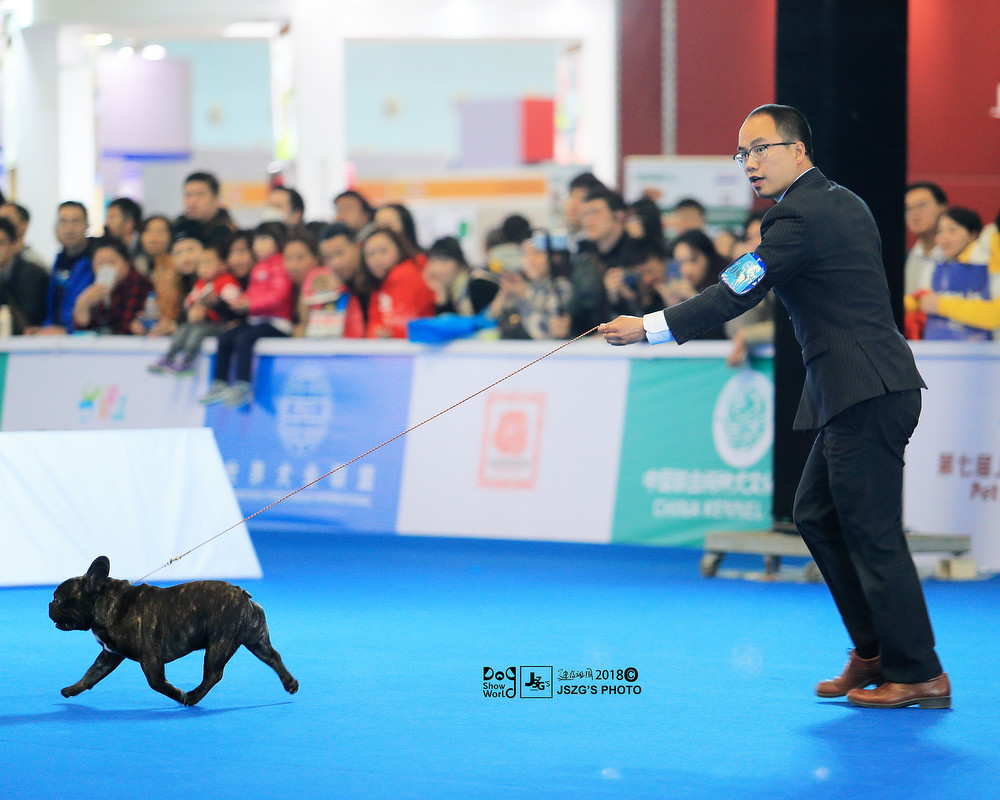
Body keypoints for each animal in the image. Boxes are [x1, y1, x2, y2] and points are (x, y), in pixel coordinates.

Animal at [49, 556, 299, 706]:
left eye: (59, 600)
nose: (49, 605)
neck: (103, 600)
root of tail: (241, 594)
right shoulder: (110, 654)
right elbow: (92, 673)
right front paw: (72, 689)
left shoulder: (150, 658)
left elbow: (157, 683)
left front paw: (178, 694)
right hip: (255, 640)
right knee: (273, 657)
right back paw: (290, 684)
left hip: (220, 643)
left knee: (214, 674)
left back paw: (192, 696)